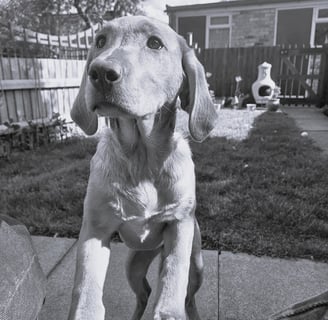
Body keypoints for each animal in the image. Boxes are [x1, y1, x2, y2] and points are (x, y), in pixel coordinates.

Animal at [68, 15, 218, 320]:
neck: (142, 158)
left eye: (155, 43)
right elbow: (86, 289)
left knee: (188, 297)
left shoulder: (180, 224)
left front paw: (168, 309)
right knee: (144, 292)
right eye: (100, 41)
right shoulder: (95, 228)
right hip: (134, 263)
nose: (100, 72)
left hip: (196, 263)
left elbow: (173, 282)